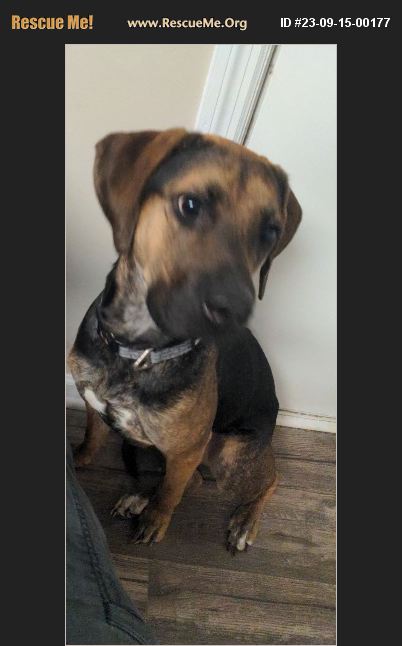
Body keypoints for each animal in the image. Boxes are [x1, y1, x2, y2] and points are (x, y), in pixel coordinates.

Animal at [68, 129, 302, 552]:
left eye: (271, 232)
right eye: (190, 205)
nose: (235, 309)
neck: (138, 352)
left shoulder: (189, 448)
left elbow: (170, 493)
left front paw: (156, 520)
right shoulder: (92, 400)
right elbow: (93, 436)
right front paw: (77, 459)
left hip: (227, 452)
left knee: (266, 479)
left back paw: (245, 520)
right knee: (189, 478)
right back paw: (138, 496)